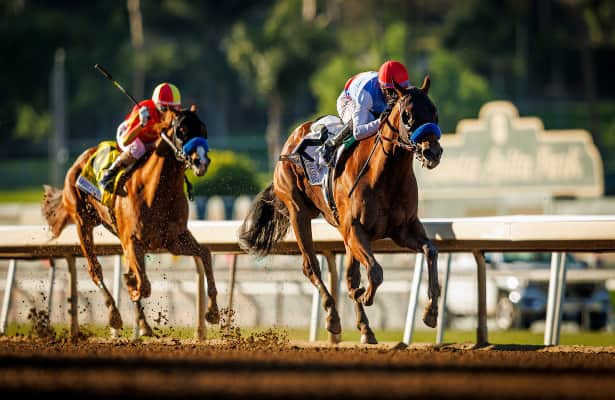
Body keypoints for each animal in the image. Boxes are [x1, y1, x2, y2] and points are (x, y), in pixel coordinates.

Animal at [41, 104, 220, 336]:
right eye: (181, 130)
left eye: (204, 129)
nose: (202, 162)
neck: (155, 191)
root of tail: (80, 160)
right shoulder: (133, 241)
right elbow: (143, 285)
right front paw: (133, 291)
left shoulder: (174, 240)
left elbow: (205, 253)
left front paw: (213, 312)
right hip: (83, 222)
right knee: (95, 269)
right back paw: (115, 315)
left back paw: (143, 324)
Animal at [238, 77, 446, 344]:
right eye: (407, 115)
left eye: (434, 112)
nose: (433, 152)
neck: (385, 174)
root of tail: (293, 136)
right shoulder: (355, 229)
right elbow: (375, 272)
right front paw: (365, 296)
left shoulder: (404, 229)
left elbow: (431, 251)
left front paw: (431, 311)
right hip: (299, 213)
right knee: (311, 266)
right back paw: (333, 317)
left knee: (350, 275)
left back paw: (366, 329)